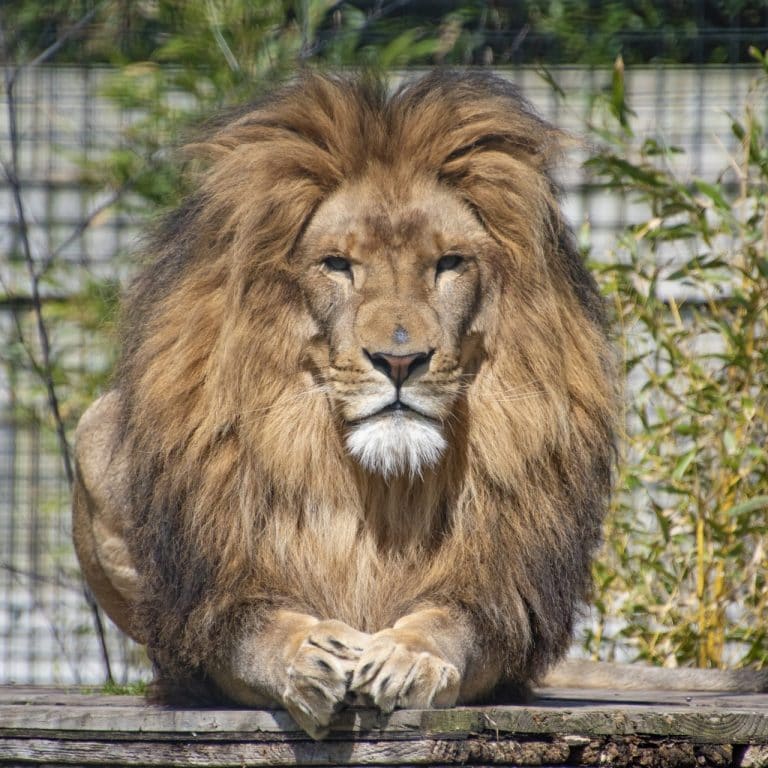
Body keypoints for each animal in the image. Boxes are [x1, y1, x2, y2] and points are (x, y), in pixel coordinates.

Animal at [75, 70, 760, 736]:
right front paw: (311, 658)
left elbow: (448, 627)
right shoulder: (213, 606)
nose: (400, 360)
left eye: (449, 263)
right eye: (337, 264)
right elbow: (262, 636)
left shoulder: (500, 597)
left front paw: (407, 657)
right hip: (92, 430)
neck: (383, 488)